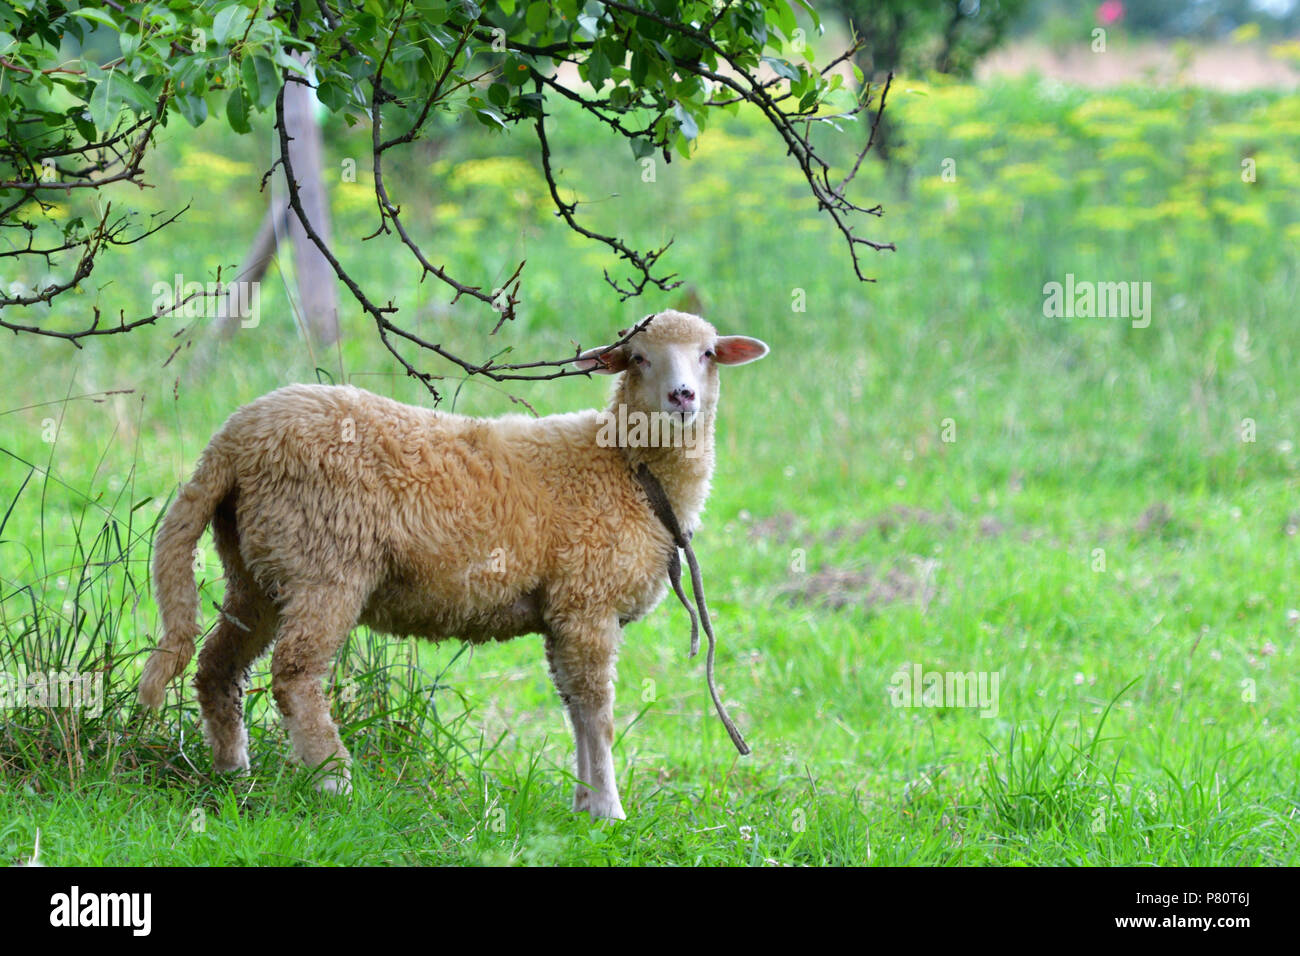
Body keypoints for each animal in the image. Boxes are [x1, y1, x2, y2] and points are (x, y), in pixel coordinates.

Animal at [138, 309, 769, 819]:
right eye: (638, 358)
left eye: (707, 353)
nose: (683, 397)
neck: (625, 468)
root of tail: (234, 439)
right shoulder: (587, 603)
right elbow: (599, 713)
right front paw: (609, 811)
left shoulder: (565, 613)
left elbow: (575, 708)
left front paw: (585, 804)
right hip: (325, 560)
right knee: (294, 674)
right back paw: (335, 783)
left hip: (257, 568)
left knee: (217, 667)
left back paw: (232, 774)